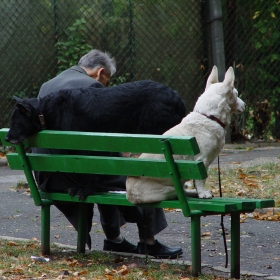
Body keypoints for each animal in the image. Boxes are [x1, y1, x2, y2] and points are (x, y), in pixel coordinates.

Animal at [4, 80, 186, 199]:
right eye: (11, 123)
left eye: (17, 123)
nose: (5, 138)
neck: (45, 111)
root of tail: (176, 96)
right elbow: (78, 171)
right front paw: (79, 188)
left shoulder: (87, 148)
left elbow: (89, 173)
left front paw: (86, 190)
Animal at [127, 66, 245, 203]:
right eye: (236, 94)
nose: (244, 105)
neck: (209, 117)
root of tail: (128, 195)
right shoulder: (201, 161)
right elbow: (200, 180)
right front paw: (203, 194)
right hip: (170, 190)